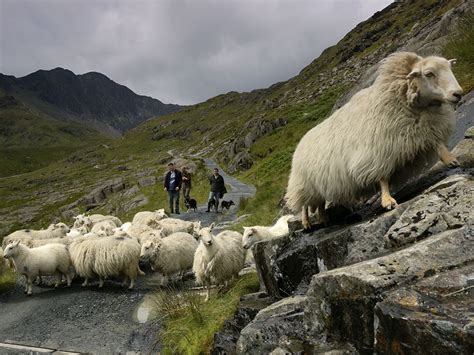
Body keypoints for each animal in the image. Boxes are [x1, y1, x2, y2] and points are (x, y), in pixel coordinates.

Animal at [286, 52, 462, 231]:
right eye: (429, 74)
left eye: (450, 67)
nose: (458, 94)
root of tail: (300, 143)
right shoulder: (378, 151)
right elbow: (382, 178)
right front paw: (387, 201)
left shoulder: (425, 130)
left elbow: (438, 144)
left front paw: (451, 160)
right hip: (304, 184)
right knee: (304, 205)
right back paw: (306, 223)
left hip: (320, 184)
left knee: (320, 203)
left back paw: (324, 219)